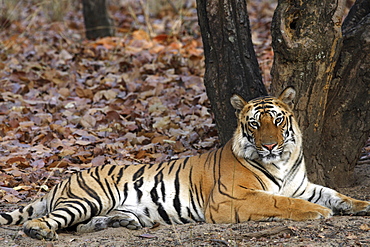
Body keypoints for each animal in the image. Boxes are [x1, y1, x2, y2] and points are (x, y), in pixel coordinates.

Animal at [0, 87, 370, 239]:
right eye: (254, 124)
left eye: (277, 121)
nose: (269, 145)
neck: (281, 162)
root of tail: (61, 181)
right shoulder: (230, 199)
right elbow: (279, 202)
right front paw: (318, 213)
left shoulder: (301, 185)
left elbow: (334, 194)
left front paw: (360, 205)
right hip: (87, 198)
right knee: (46, 220)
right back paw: (39, 232)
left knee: (83, 225)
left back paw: (121, 223)